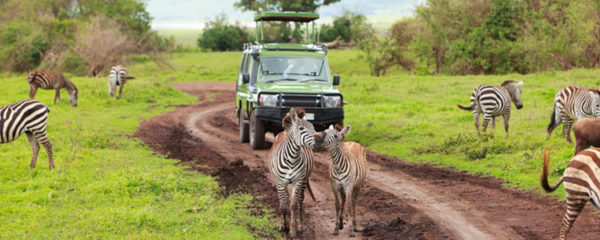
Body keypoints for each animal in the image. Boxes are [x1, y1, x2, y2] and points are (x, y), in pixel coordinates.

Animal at [270, 107, 318, 238]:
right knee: (285, 200)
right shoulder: (280, 182)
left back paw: (300, 225)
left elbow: (293, 205)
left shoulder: (298, 181)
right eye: (301, 129)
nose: (319, 140)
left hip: (304, 180)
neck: (291, 158)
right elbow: (283, 204)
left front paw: (292, 230)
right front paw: (283, 226)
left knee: (300, 201)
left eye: (313, 127)